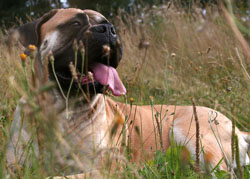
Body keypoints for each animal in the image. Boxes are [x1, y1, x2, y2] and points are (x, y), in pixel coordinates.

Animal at [6, 7, 249, 177]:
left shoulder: (100, 169)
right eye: (75, 23)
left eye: (109, 25)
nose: (109, 30)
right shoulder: (12, 164)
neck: (59, 108)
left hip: (191, 133)